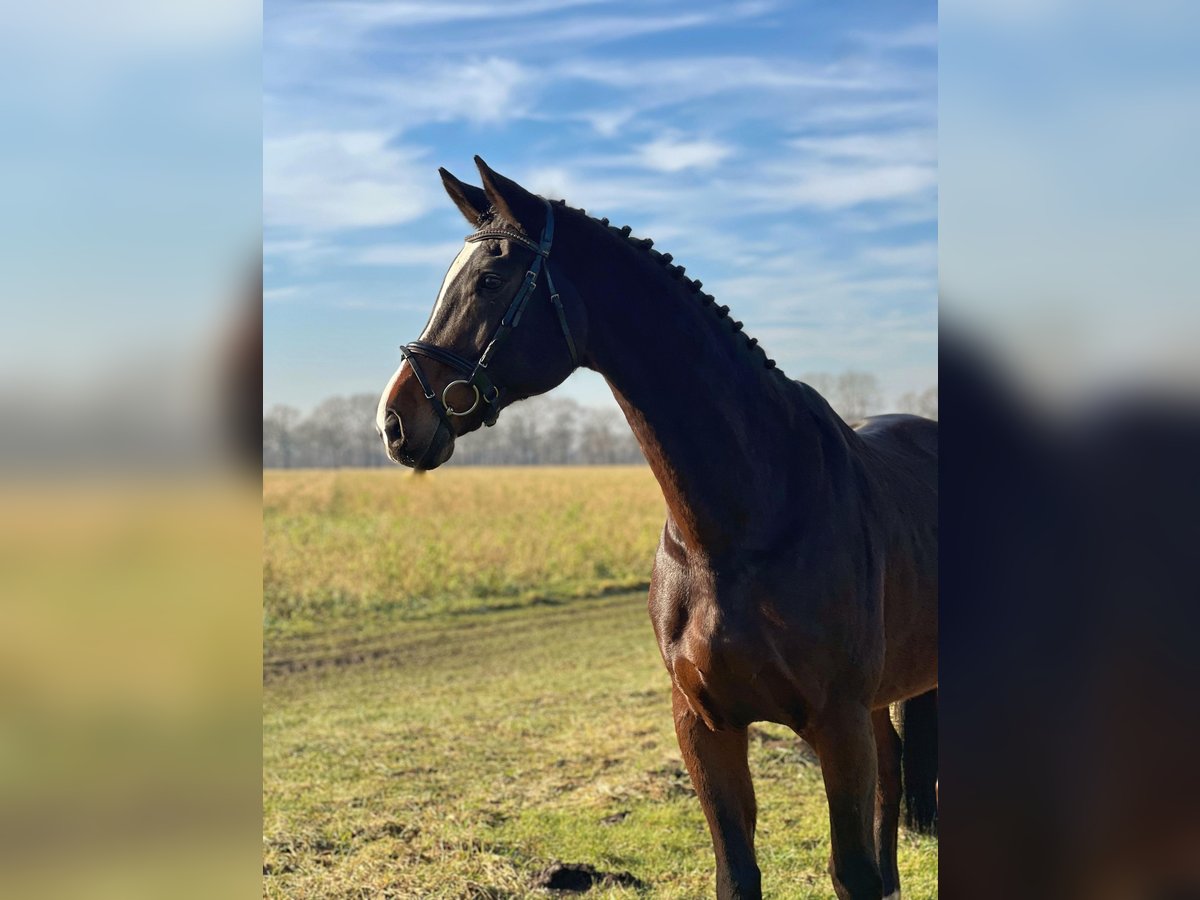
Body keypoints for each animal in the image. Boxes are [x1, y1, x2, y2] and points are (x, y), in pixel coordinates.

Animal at [374, 158, 936, 897]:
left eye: (489, 280)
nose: (394, 420)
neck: (742, 527)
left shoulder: (836, 723)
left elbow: (853, 873)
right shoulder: (703, 724)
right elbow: (739, 873)